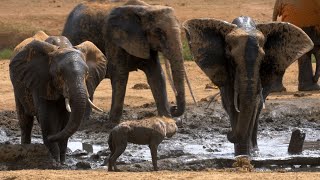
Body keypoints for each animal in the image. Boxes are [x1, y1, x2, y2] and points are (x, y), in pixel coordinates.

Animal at [10, 34, 107, 162]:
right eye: (60, 74)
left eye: (87, 73)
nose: (50, 137)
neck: (62, 46)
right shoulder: (40, 81)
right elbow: (47, 118)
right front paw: (55, 161)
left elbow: (66, 119)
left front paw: (62, 162)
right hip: (17, 87)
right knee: (25, 122)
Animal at [184, 16, 314, 155]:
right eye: (230, 58)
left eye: (262, 59)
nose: (228, 133)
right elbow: (232, 105)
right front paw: (240, 153)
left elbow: (254, 105)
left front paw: (246, 154)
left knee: (258, 109)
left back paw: (255, 150)